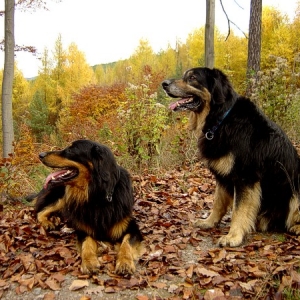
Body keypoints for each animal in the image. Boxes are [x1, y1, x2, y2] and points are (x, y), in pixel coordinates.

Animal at [33, 139, 144, 276]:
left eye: (71, 150)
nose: (40, 155)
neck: (97, 196)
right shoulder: (84, 230)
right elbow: (87, 244)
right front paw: (89, 262)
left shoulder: (132, 227)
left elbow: (126, 243)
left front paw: (125, 262)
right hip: (62, 196)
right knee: (40, 211)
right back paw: (47, 222)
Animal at [162, 67, 300, 246]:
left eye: (192, 77)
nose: (164, 84)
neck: (221, 119)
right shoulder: (222, 176)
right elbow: (218, 203)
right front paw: (209, 222)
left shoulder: (245, 178)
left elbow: (238, 210)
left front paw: (233, 236)